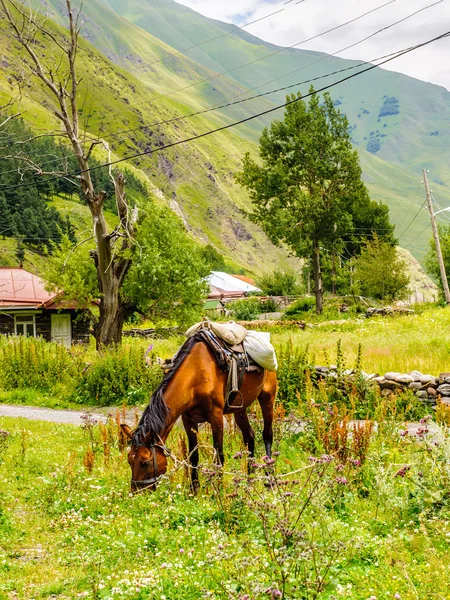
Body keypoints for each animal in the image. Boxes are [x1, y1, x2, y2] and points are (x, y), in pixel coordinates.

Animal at [121, 332, 278, 492]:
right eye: (129, 460)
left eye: (145, 462)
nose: (136, 493)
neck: (196, 373)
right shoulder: (188, 419)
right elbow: (193, 456)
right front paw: (193, 490)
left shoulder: (216, 417)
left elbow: (218, 456)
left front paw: (218, 491)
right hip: (239, 409)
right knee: (249, 436)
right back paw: (249, 480)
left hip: (267, 398)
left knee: (267, 434)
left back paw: (269, 478)